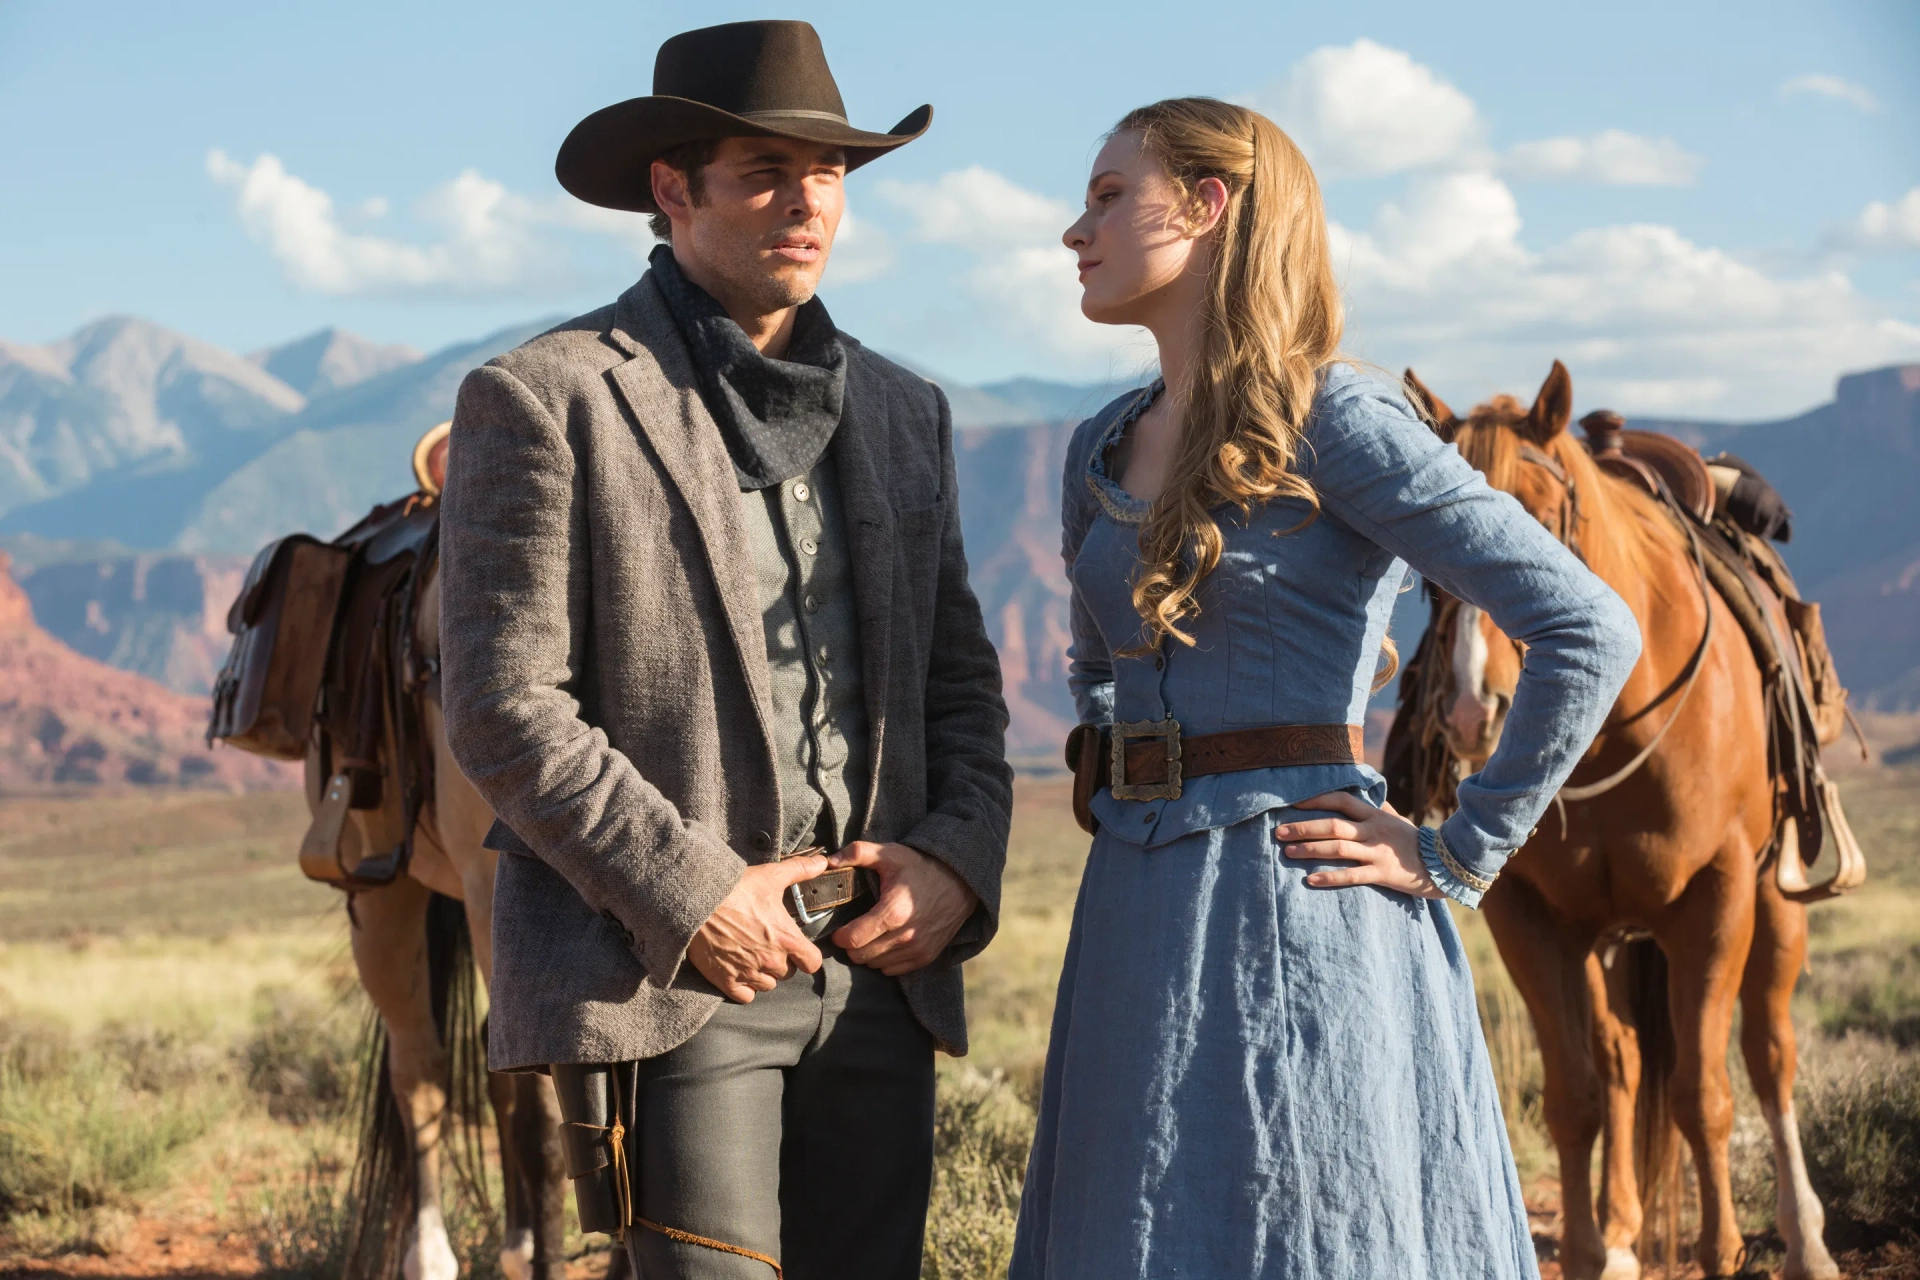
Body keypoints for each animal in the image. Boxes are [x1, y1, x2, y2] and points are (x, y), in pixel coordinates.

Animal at [1397, 362, 1843, 1280]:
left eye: (1540, 521)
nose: (1471, 712)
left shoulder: (1714, 899)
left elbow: (1705, 1093)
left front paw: (1720, 1251)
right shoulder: (1529, 917)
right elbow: (1577, 1095)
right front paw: (1591, 1248)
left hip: (1773, 900)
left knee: (1768, 1055)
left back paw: (1809, 1240)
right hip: (1607, 936)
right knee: (1625, 1061)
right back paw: (1624, 1237)